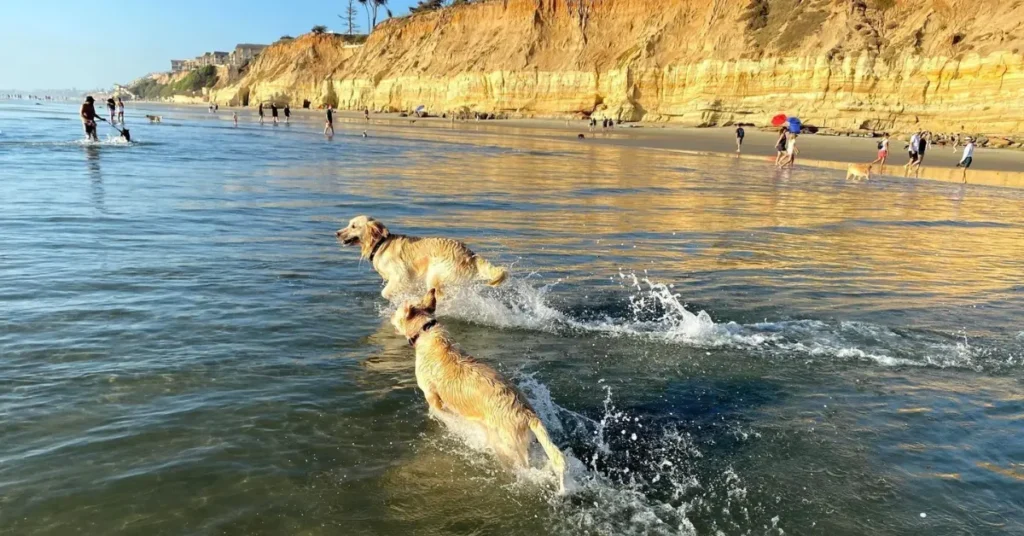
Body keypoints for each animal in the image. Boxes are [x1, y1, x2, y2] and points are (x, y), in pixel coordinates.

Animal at [337, 218, 509, 301]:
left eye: (353, 226)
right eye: (349, 224)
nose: (336, 233)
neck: (380, 244)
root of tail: (470, 255)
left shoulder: (401, 276)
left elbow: (385, 292)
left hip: (435, 275)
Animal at [389, 291, 569, 493]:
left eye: (397, 310)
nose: (390, 315)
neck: (425, 331)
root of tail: (526, 413)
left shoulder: (432, 396)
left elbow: (440, 411)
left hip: (506, 446)